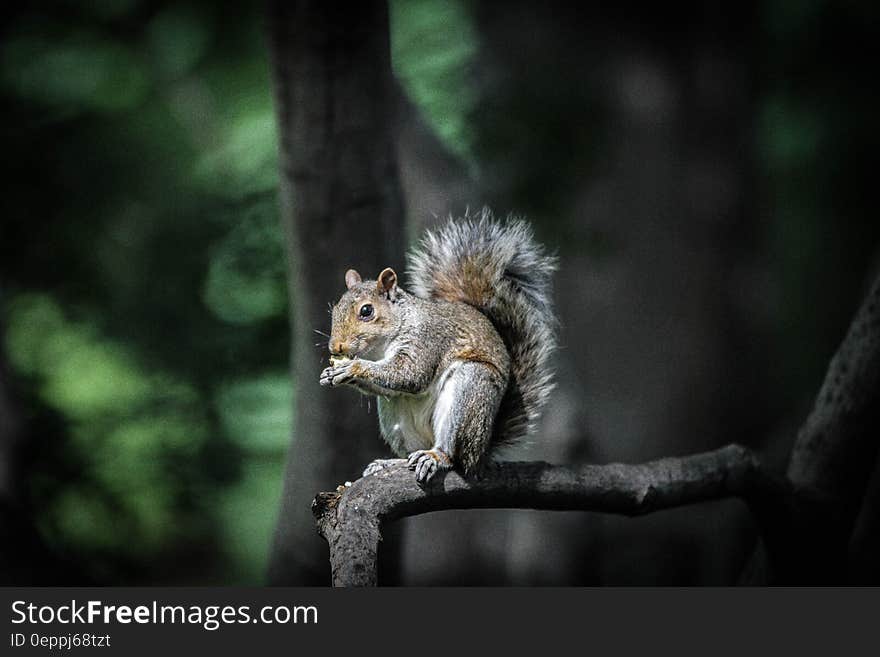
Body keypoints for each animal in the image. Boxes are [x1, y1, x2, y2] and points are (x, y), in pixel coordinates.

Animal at [320, 209, 556, 482]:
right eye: (336, 308)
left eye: (366, 311)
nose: (335, 348)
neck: (382, 346)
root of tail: (481, 455)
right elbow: (391, 386)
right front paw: (330, 373)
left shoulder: (427, 339)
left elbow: (411, 374)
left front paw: (352, 367)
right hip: (394, 418)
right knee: (408, 447)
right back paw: (391, 464)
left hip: (469, 394)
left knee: (454, 455)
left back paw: (436, 456)